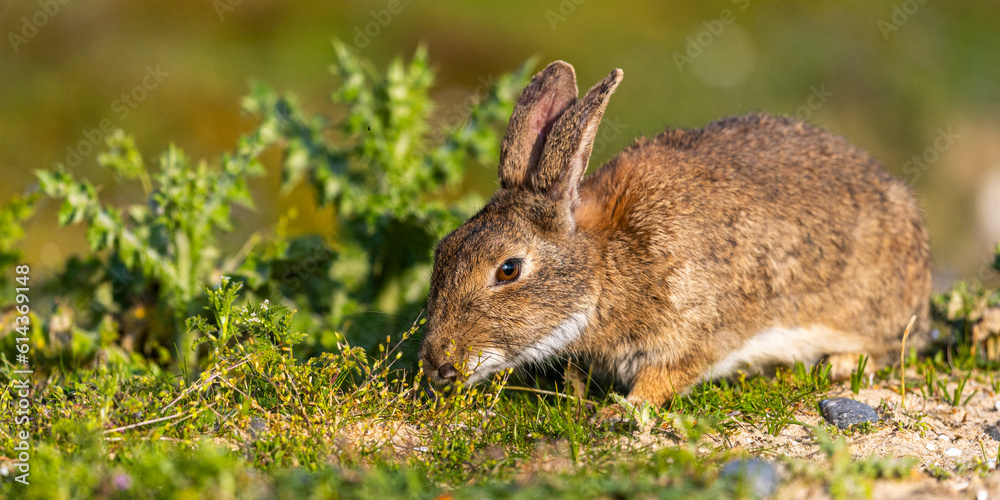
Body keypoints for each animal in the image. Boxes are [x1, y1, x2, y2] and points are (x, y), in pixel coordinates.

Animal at [418, 60, 931, 421]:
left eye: (508, 270)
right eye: (442, 250)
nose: (436, 366)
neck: (607, 264)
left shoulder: (692, 330)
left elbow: (664, 378)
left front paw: (620, 411)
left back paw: (836, 364)